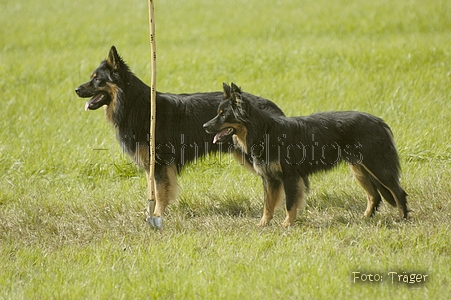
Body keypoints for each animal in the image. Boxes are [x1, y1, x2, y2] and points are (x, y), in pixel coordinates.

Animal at [74, 47, 286, 220]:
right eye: (92, 76)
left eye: (96, 79)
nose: (76, 89)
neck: (135, 105)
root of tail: (273, 108)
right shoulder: (150, 164)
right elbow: (153, 190)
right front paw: (150, 213)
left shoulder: (159, 162)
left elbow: (160, 191)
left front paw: (158, 215)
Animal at [205, 82, 410, 227]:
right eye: (217, 113)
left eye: (223, 115)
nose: (205, 126)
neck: (264, 132)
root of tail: (379, 121)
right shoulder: (270, 178)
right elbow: (268, 204)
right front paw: (263, 224)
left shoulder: (289, 177)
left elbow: (289, 203)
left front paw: (286, 224)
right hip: (360, 169)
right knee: (374, 196)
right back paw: (365, 218)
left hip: (378, 167)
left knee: (398, 192)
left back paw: (402, 219)